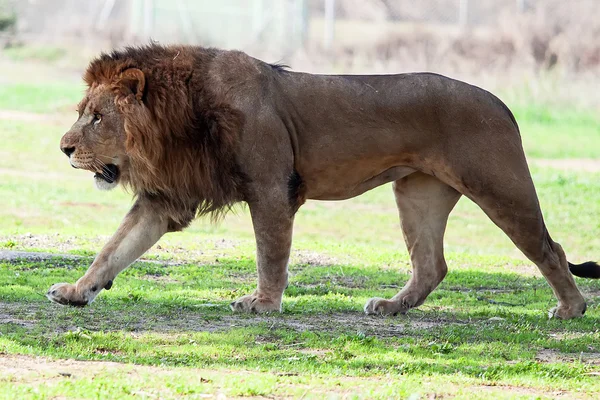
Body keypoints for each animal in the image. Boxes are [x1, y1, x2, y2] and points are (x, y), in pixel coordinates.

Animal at [48, 43, 600, 318]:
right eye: (83, 112)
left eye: (97, 117)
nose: (64, 148)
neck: (180, 118)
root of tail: (501, 101)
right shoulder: (165, 199)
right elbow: (113, 248)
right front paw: (78, 291)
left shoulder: (271, 188)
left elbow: (270, 254)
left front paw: (263, 304)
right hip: (416, 195)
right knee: (432, 265)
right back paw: (392, 307)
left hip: (500, 187)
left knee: (548, 248)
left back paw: (571, 310)